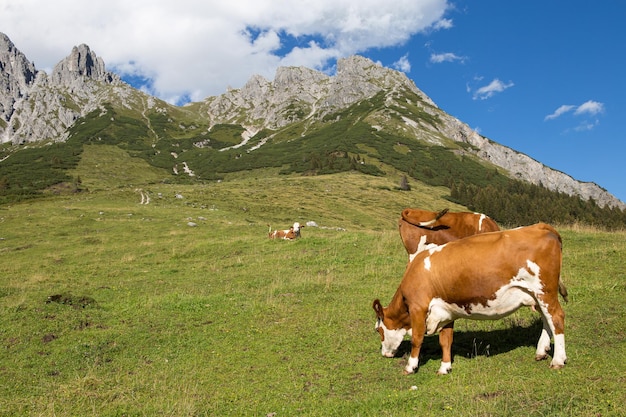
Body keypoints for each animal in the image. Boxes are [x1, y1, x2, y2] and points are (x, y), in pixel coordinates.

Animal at [372, 223, 568, 376]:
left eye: (378, 330)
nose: (384, 354)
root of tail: (539, 226)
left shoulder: (418, 307)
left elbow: (417, 339)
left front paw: (410, 367)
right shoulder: (445, 311)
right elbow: (445, 341)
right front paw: (444, 367)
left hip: (545, 291)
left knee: (556, 318)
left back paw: (558, 360)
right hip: (537, 294)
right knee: (546, 319)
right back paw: (541, 351)